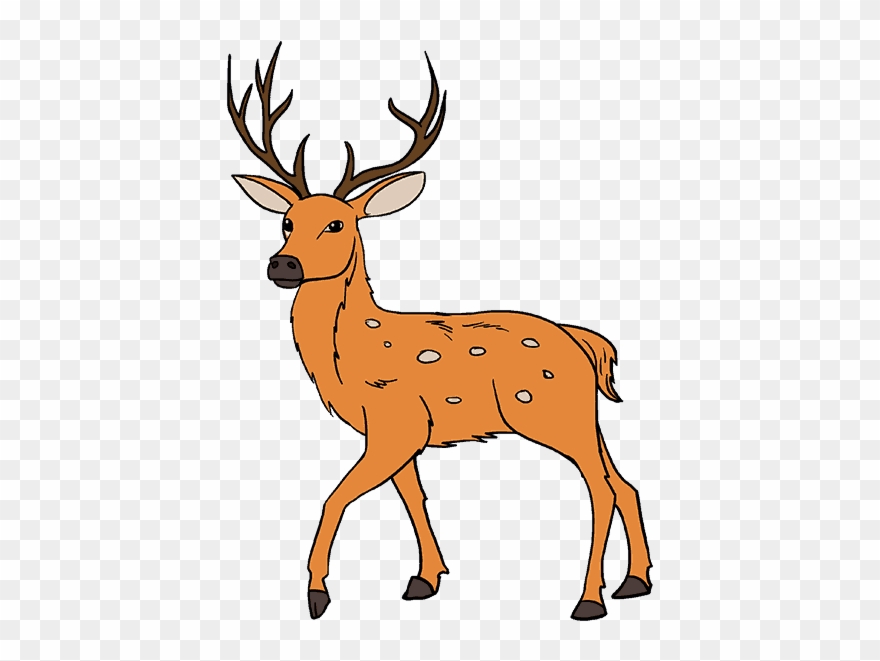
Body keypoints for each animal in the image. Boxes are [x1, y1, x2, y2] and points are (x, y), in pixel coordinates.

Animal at [226, 43, 653, 621]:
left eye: (338, 224)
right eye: (287, 221)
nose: (282, 265)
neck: (350, 358)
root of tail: (585, 341)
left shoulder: (396, 422)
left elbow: (336, 495)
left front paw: (317, 593)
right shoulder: (401, 432)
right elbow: (411, 495)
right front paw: (425, 579)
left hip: (549, 411)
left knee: (600, 488)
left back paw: (589, 600)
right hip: (582, 414)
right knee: (623, 481)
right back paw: (635, 582)